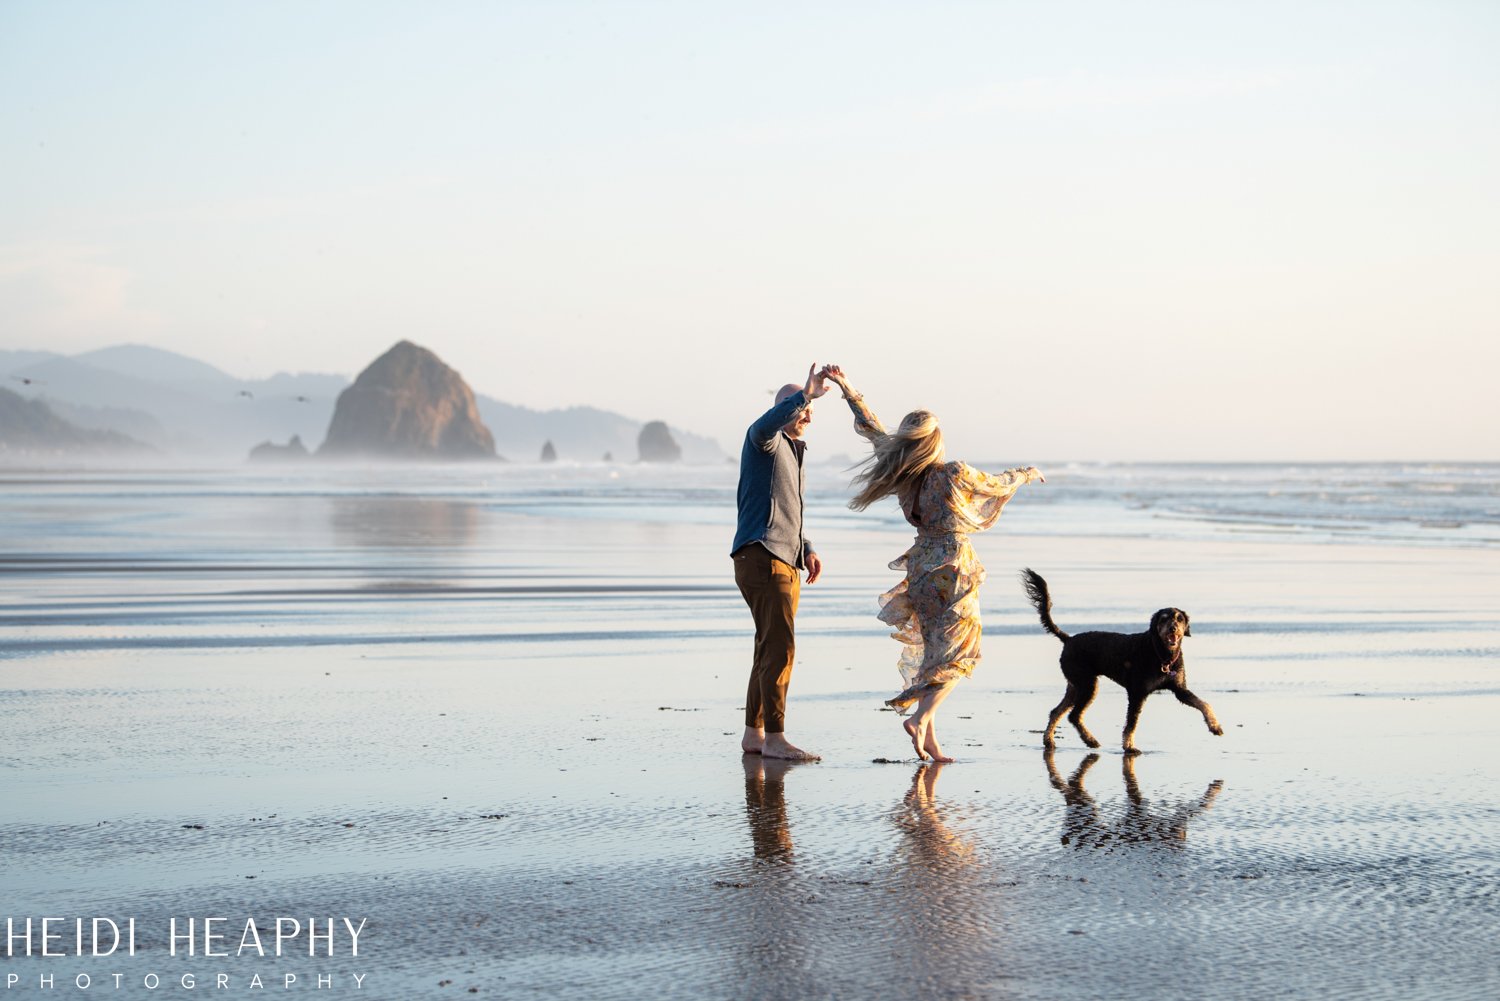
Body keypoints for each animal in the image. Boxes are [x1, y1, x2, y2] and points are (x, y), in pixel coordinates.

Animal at [1020, 567, 1218, 756]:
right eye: (1163, 619)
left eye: (1180, 618)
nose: (1173, 628)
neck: (1162, 654)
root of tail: (1068, 639)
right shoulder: (1137, 693)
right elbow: (1131, 723)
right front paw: (1129, 747)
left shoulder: (1179, 690)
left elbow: (1203, 703)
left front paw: (1215, 726)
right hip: (1087, 684)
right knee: (1074, 716)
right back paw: (1090, 740)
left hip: (1075, 685)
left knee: (1057, 711)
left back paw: (1049, 741)